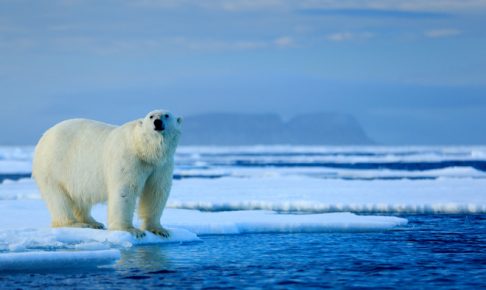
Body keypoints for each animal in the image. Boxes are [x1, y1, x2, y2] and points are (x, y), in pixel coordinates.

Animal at [32, 110, 183, 237]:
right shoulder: (129, 159)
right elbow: (125, 190)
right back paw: (75, 224)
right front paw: (131, 230)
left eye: (166, 115)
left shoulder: (161, 165)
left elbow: (156, 191)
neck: (143, 150)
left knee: (80, 197)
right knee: (58, 198)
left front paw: (159, 230)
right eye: (151, 116)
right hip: (53, 167)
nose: (157, 122)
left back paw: (93, 222)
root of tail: (44, 136)